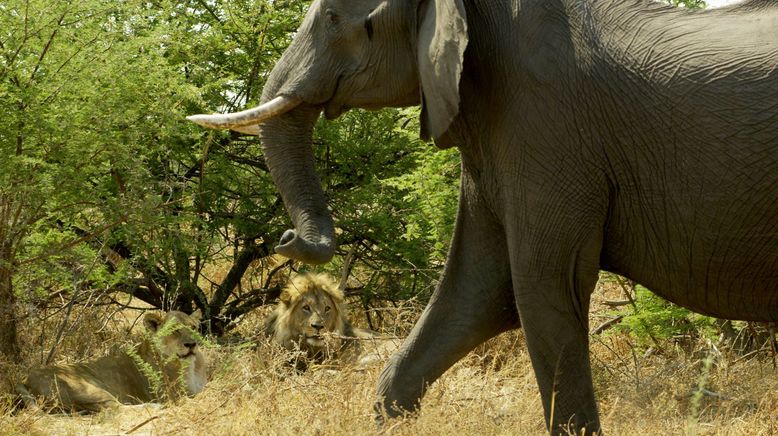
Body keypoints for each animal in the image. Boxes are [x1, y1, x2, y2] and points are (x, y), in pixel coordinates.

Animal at [16, 310, 208, 412]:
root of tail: (25, 379)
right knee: (117, 407)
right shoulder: (176, 393)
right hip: (89, 388)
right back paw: (154, 407)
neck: (192, 366)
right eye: (175, 330)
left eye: (193, 328)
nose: (191, 344)